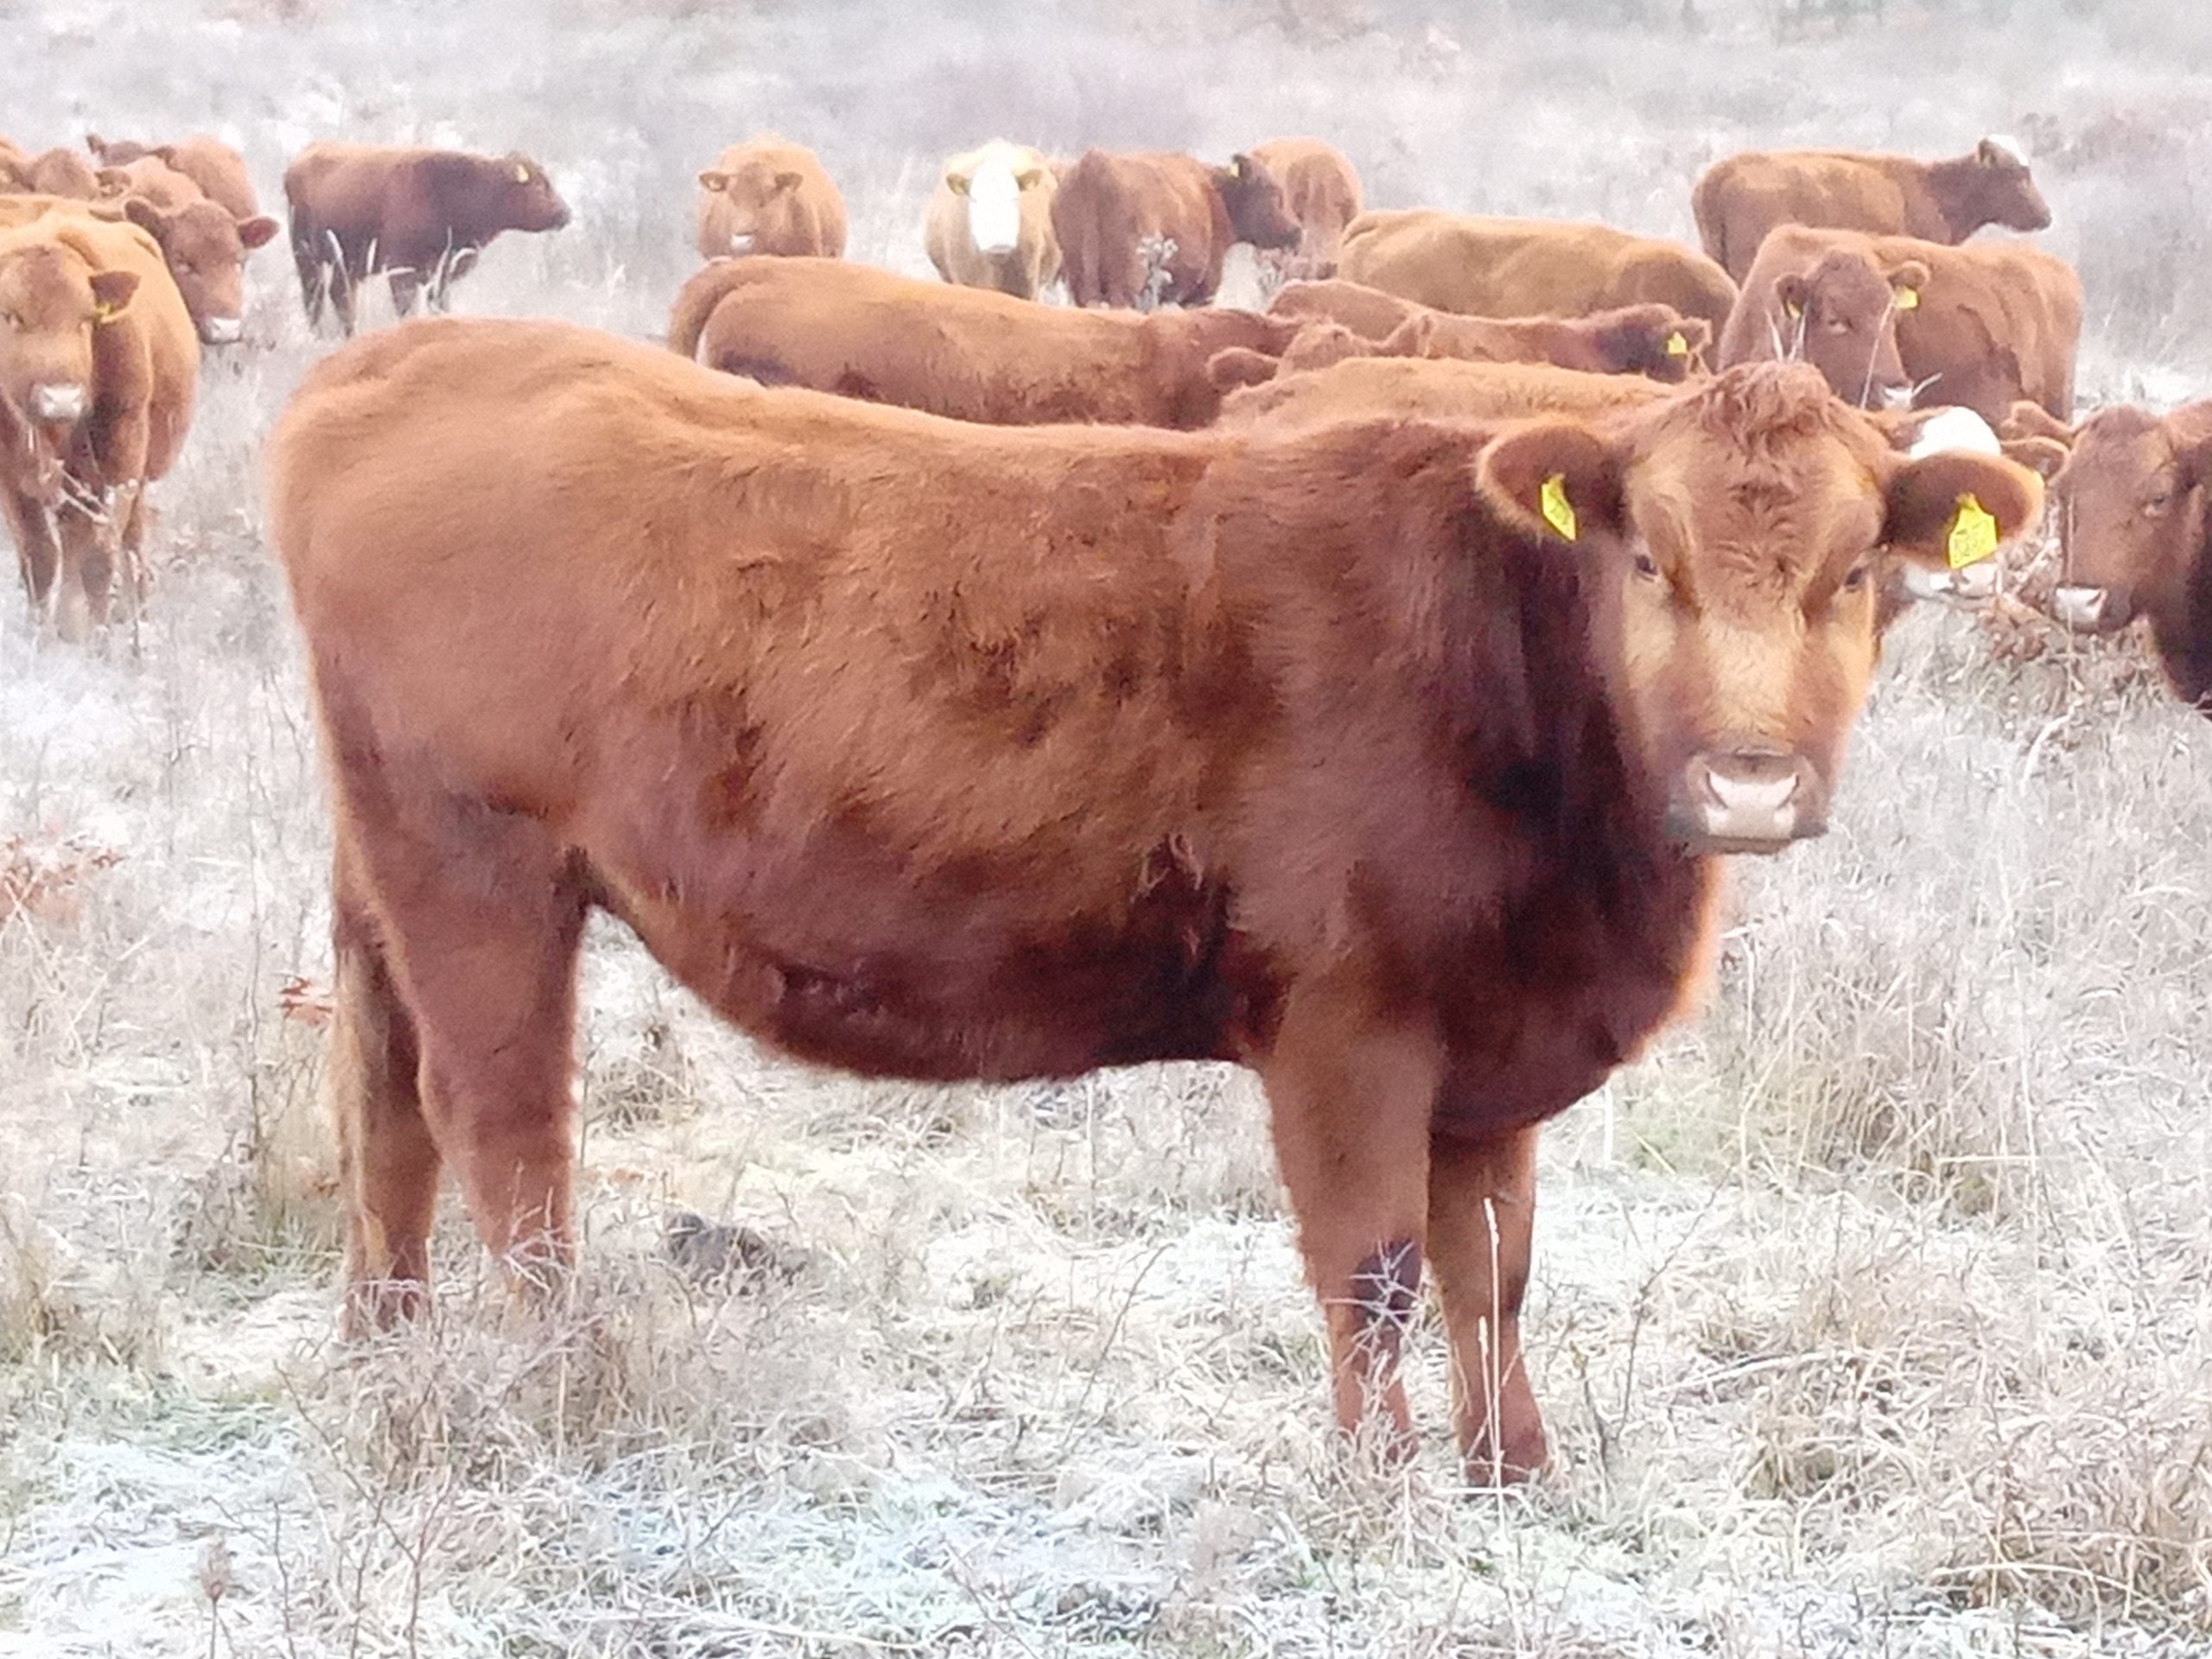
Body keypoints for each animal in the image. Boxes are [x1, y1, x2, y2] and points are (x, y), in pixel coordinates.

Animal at [0, 210, 199, 639]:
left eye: (87, 319)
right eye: (10, 315)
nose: (61, 398)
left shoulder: (120, 459)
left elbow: (97, 557)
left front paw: (98, 642)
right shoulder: (13, 480)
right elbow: (38, 559)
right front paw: (42, 637)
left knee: (130, 545)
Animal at [267, 319, 2043, 1482]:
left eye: (1857, 573)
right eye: (1651, 564)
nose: (1749, 780)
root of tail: (410, 359)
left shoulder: (1489, 1040)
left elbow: (1495, 1262)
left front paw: (1514, 1467)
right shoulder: (1347, 1023)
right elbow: (1377, 1265)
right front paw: (1381, 1485)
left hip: (382, 865)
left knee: (381, 1093)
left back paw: (384, 1348)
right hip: (480, 866)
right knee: (503, 1127)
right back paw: (558, 1383)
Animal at [283, 142, 570, 335]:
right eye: (539, 185)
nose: (565, 213)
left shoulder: (441, 273)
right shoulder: (401, 269)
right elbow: (407, 309)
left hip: (349, 264)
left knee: (340, 296)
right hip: (305, 256)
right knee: (315, 298)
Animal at [1051, 148, 1301, 309]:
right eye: (1274, 192)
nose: (1297, 231)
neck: (1214, 193)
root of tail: (1094, 165)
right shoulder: (1203, 292)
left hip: (1079, 279)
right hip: (1127, 281)